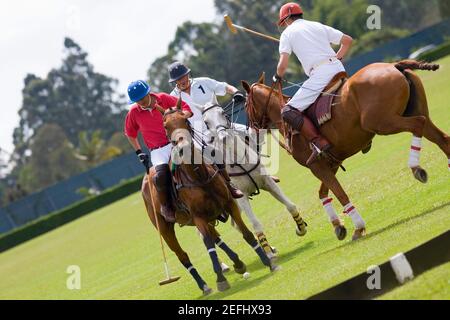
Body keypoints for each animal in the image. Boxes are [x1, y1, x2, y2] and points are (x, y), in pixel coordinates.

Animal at [142, 97, 280, 296]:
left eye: (185, 120)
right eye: (165, 125)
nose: (182, 148)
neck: (199, 176)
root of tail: (147, 176)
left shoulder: (231, 202)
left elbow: (246, 232)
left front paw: (268, 260)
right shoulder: (201, 215)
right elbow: (210, 246)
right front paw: (220, 280)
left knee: (216, 237)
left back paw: (237, 263)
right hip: (166, 228)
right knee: (184, 254)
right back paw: (206, 284)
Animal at [243, 59, 450, 240]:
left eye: (245, 105)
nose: (252, 130)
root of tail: (394, 65)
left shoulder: (317, 166)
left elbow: (340, 194)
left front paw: (358, 228)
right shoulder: (331, 163)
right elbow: (323, 193)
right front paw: (338, 226)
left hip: (382, 122)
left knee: (418, 125)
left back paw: (416, 168)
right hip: (415, 110)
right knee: (441, 137)